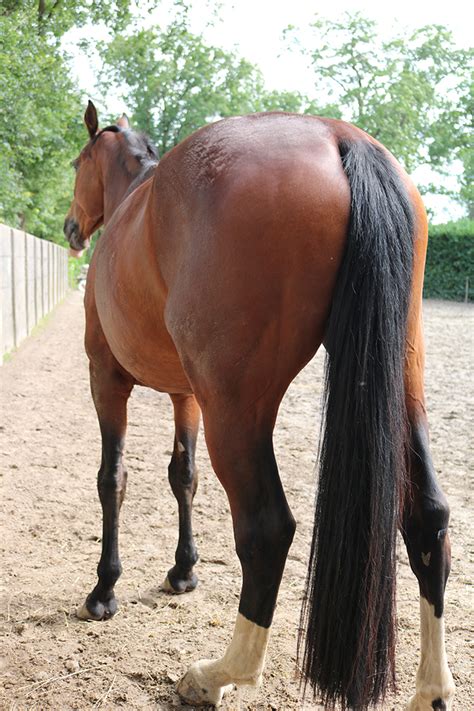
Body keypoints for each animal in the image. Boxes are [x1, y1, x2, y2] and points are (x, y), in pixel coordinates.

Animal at [65, 101, 454, 711]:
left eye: (79, 163)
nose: (71, 229)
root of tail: (339, 138)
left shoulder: (105, 377)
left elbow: (114, 479)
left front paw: (104, 590)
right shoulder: (187, 395)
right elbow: (183, 476)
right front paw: (183, 571)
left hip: (235, 408)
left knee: (267, 531)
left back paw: (214, 675)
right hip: (402, 381)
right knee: (427, 516)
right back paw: (432, 690)